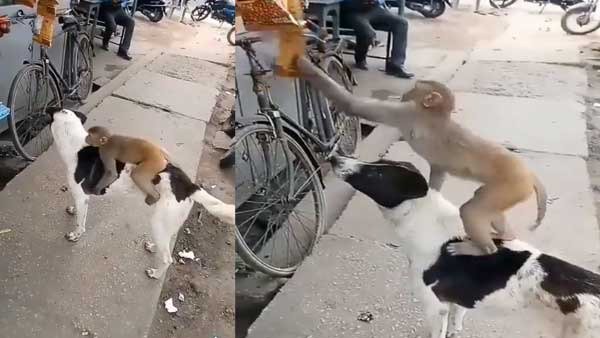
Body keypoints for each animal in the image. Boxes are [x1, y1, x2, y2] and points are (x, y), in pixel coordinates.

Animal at [48, 108, 236, 280]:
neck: (75, 144)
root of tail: (189, 185)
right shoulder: (81, 198)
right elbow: (78, 211)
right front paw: (73, 210)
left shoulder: (81, 197)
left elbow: (80, 223)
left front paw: (75, 235)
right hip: (168, 223)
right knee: (167, 242)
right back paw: (153, 247)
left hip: (159, 221)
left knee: (168, 259)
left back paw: (155, 273)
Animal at [296, 56, 548, 256]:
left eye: (416, 87)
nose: (405, 90)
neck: (435, 114)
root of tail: (529, 174)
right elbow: (437, 174)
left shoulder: (406, 112)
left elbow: (352, 105)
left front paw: (301, 61)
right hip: (510, 191)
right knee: (489, 208)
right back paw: (506, 235)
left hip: (512, 185)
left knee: (472, 210)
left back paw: (481, 248)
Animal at [332, 155, 600, 338]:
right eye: (376, 163)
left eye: (376, 175)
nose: (335, 158)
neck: (423, 217)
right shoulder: (456, 301)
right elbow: (457, 319)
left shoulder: (434, 307)